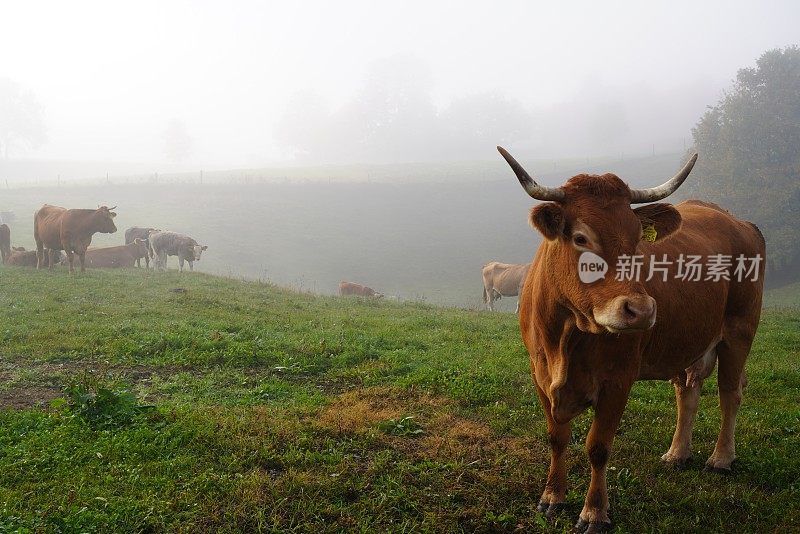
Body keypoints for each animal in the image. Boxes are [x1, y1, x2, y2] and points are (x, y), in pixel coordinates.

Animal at [496, 146, 764, 532]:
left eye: (638, 237)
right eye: (581, 237)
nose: (641, 310)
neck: (566, 338)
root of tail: (738, 221)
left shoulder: (618, 380)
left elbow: (598, 447)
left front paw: (594, 512)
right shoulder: (539, 374)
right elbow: (557, 438)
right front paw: (552, 496)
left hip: (739, 330)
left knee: (730, 392)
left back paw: (721, 458)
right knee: (688, 390)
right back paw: (677, 453)